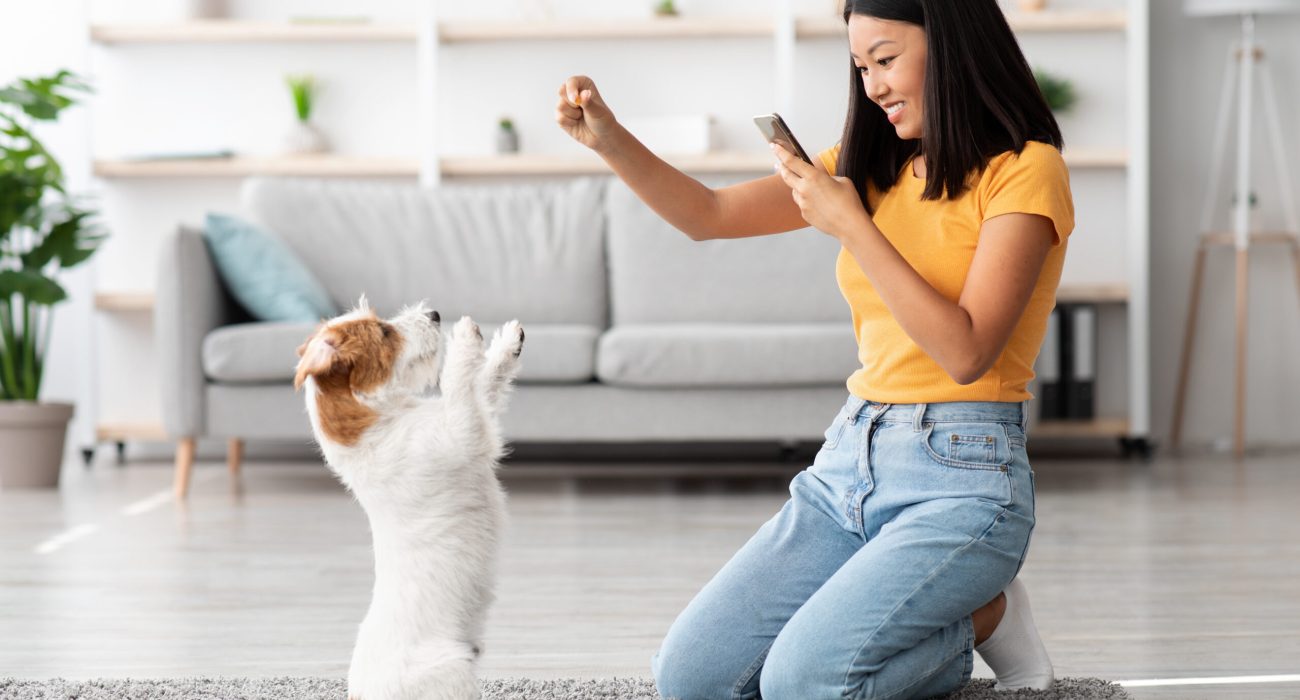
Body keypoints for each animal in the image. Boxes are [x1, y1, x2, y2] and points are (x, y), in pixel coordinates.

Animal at [292, 295, 520, 697]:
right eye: (385, 332)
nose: (435, 314)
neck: (375, 422)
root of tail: (360, 693)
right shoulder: (464, 433)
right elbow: (459, 385)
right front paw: (464, 338)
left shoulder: (472, 420)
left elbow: (484, 383)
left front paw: (507, 342)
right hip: (453, 672)